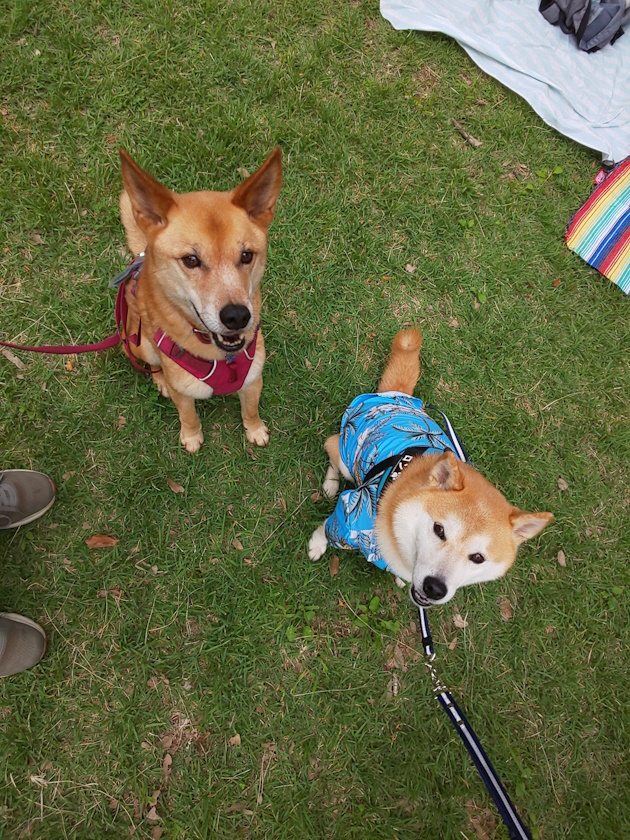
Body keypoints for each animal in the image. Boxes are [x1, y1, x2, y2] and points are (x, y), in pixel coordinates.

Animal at [118, 147, 282, 453]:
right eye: (191, 260)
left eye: (246, 255)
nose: (237, 316)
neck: (221, 357)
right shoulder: (183, 392)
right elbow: (189, 416)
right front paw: (192, 437)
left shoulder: (253, 380)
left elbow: (251, 410)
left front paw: (255, 430)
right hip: (139, 344)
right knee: (153, 365)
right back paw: (159, 379)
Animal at [308, 329, 553, 606]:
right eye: (439, 530)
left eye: (478, 557)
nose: (435, 588)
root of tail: (395, 396)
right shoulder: (348, 514)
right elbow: (325, 530)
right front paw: (316, 545)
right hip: (346, 458)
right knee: (331, 450)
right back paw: (330, 484)